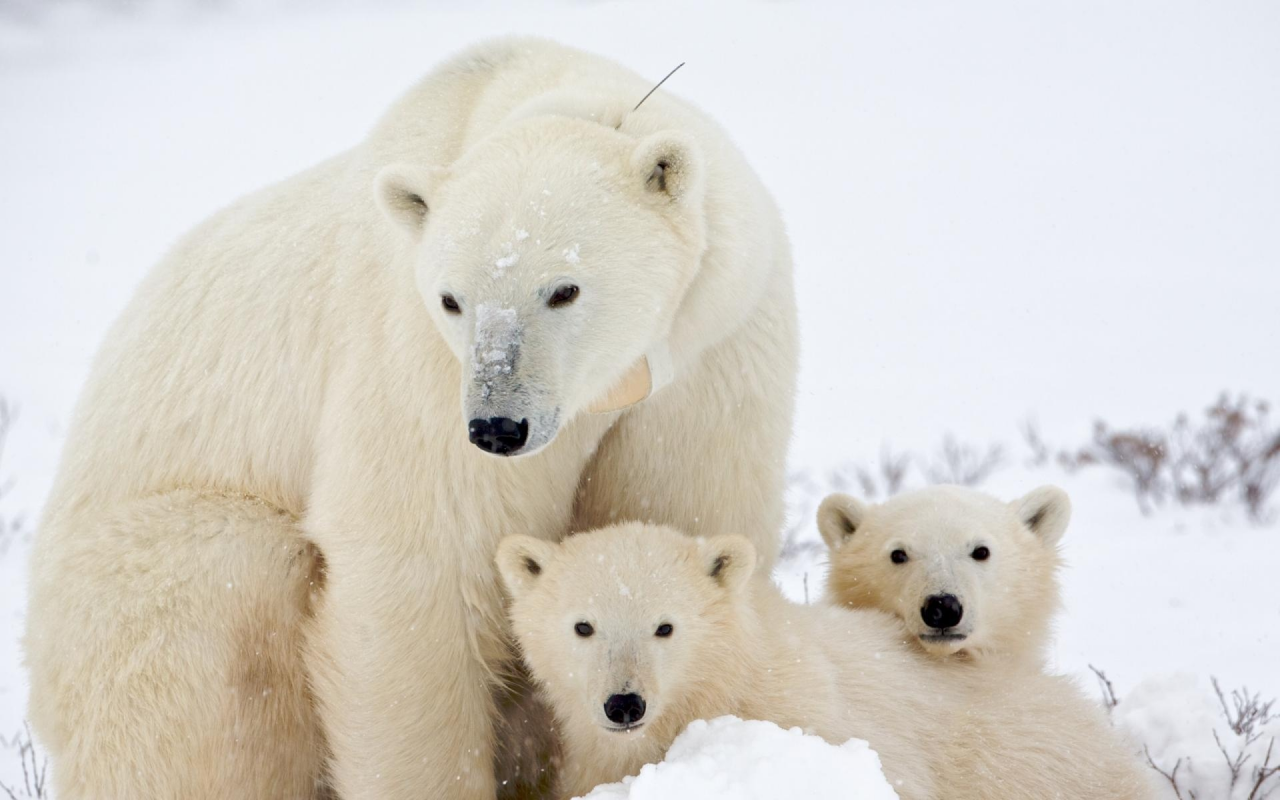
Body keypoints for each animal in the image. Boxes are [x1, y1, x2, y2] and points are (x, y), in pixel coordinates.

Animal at [24, 35, 793, 798]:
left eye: (564, 289)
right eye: (452, 299)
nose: (497, 427)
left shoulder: (710, 355)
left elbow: (678, 515)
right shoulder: (413, 357)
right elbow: (421, 564)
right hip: (132, 586)